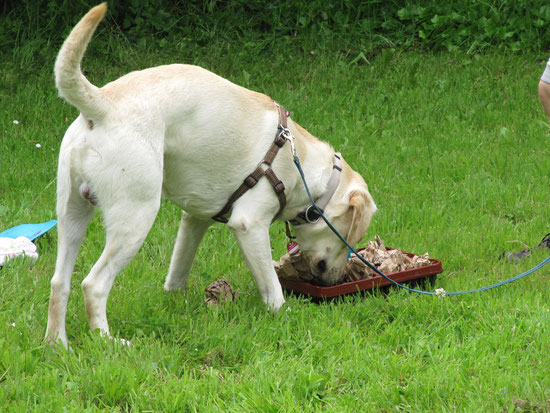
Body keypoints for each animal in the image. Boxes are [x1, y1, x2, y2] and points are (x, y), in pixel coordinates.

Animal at [46, 3, 380, 346]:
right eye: (351, 240)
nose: (334, 281)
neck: (300, 161)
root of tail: (102, 104)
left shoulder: (194, 219)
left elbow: (177, 275)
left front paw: (176, 305)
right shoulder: (249, 225)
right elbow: (272, 290)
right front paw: (287, 318)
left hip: (71, 216)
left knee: (59, 282)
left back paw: (58, 346)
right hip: (135, 218)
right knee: (93, 285)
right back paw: (108, 342)